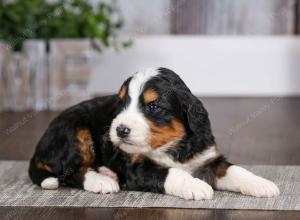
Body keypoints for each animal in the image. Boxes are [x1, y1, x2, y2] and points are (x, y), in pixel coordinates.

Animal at [29, 68, 280, 200]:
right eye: (121, 103)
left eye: (153, 106)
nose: (120, 130)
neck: (171, 147)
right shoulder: (135, 167)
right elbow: (171, 173)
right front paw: (196, 186)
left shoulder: (207, 158)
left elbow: (236, 170)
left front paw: (262, 184)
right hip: (74, 132)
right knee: (70, 171)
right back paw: (101, 180)